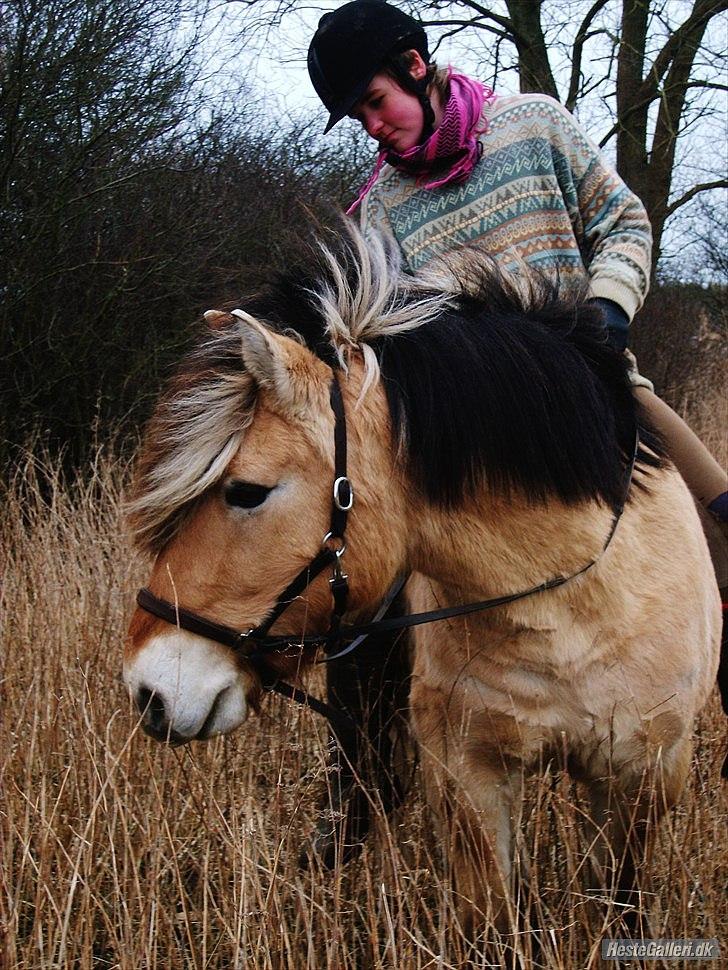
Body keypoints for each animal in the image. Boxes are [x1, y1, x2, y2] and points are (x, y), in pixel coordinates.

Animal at [122, 225, 720, 932]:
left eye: (245, 492)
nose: (149, 691)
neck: (570, 612)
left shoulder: (644, 777)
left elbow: (619, 905)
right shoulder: (468, 775)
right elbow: (491, 919)